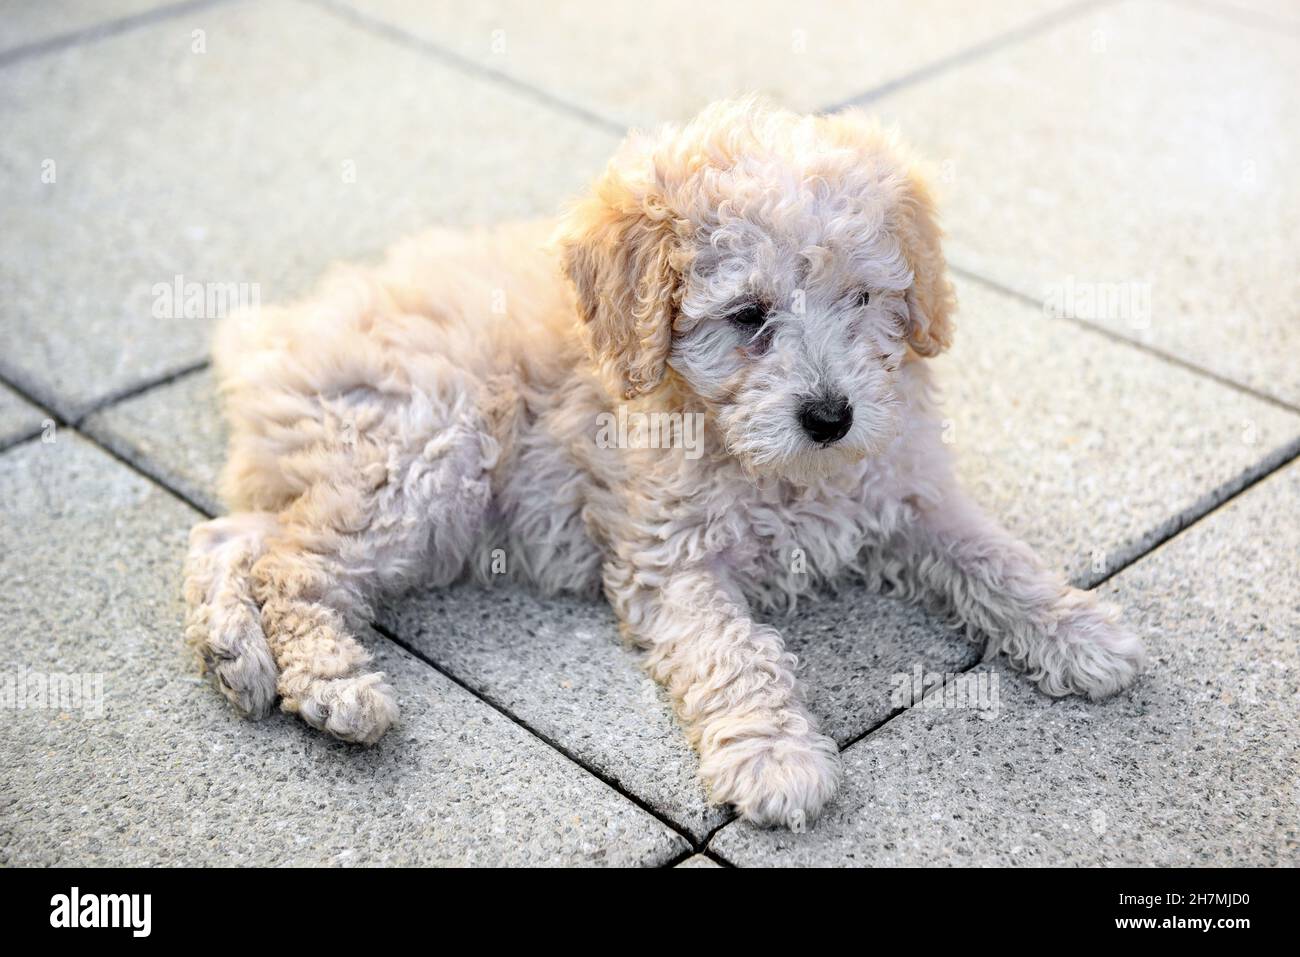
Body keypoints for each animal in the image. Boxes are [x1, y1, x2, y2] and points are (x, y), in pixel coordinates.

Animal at [185, 98, 1149, 832]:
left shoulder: (910, 487)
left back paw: (235, 654)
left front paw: (1078, 628)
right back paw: (334, 685)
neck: (766, 460)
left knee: (230, 536)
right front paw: (776, 756)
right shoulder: (669, 555)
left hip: (352, 465)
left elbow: (993, 553)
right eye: (749, 315)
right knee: (297, 565)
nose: (831, 416)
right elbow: (734, 649)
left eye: (863, 298)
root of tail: (269, 339)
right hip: (426, 451)